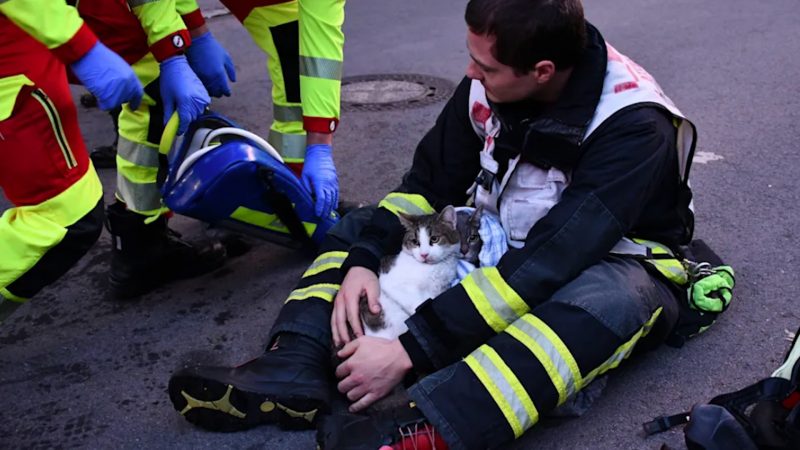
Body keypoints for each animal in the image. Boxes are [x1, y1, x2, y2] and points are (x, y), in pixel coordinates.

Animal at [360, 206, 460, 340]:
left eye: (434, 239)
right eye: (415, 242)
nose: (424, 254)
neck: (436, 267)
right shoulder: (392, 284)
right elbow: (417, 303)